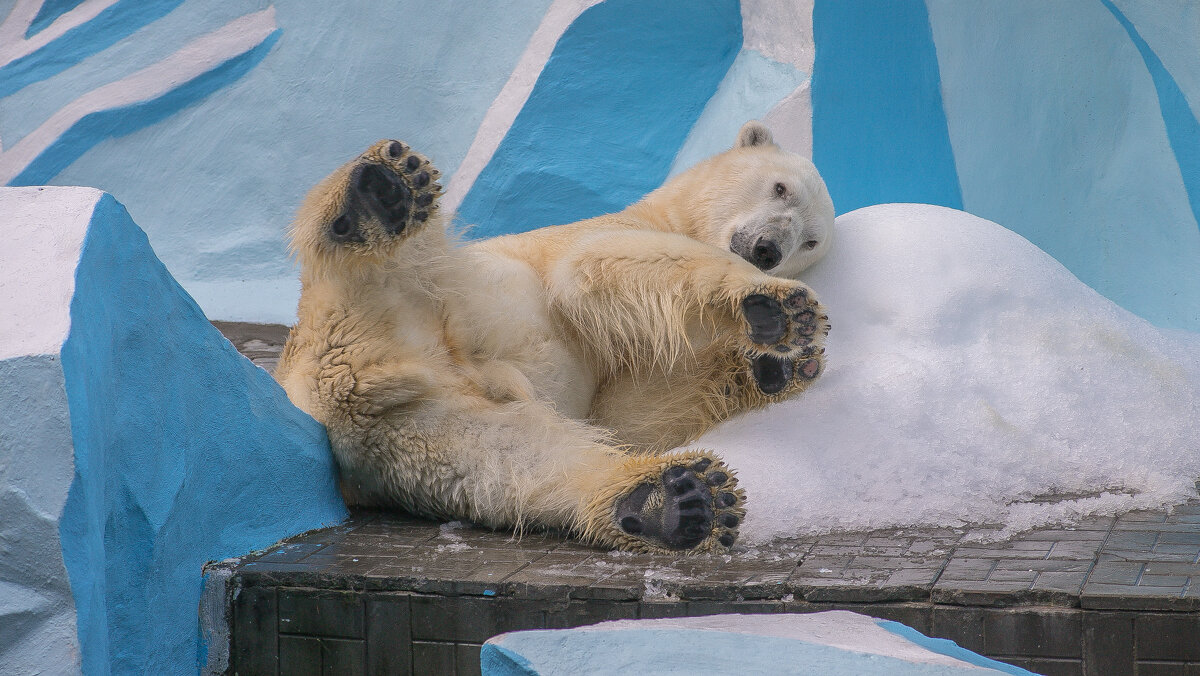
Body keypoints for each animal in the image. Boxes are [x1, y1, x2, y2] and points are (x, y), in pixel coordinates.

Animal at [274, 121, 830, 552]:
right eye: (780, 188)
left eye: (810, 241)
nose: (767, 249)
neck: (669, 213)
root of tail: (345, 383)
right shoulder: (596, 235)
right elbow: (597, 264)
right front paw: (779, 311)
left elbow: (625, 416)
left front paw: (775, 365)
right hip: (411, 293)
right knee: (375, 268)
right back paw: (377, 195)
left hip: (420, 434)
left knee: (524, 460)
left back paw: (676, 503)